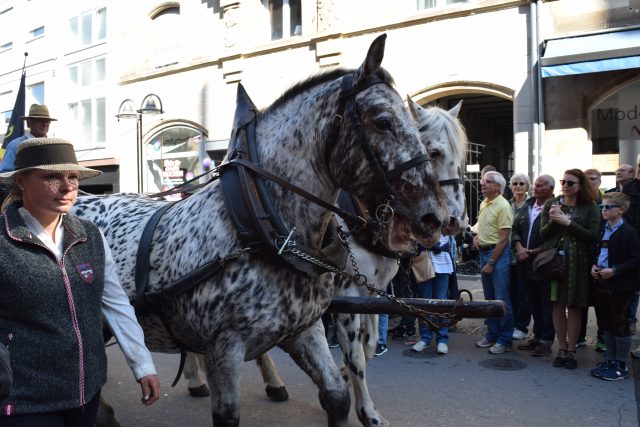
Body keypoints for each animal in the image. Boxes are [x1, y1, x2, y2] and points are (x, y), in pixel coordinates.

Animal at [75, 34, 448, 427]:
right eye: (382, 121)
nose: (434, 217)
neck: (260, 228)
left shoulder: (305, 330)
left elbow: (337, 394)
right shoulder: (223, 349)